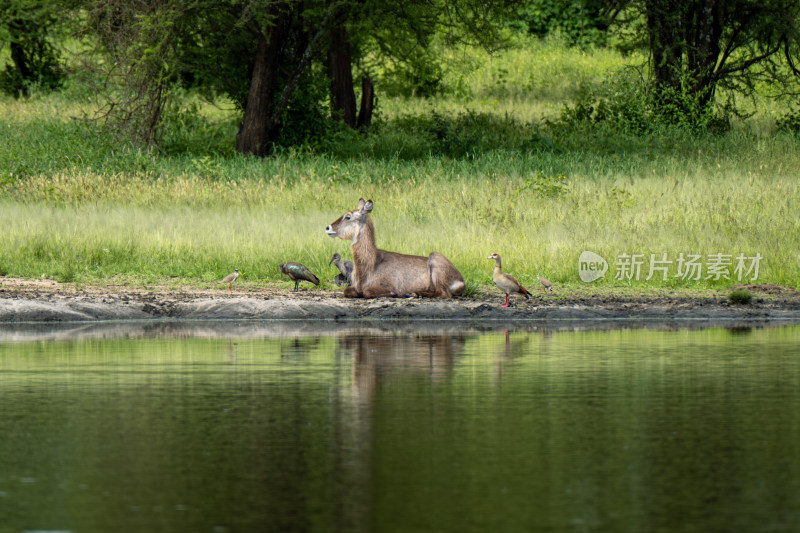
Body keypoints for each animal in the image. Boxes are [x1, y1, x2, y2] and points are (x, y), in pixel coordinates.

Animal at [324, 200, 462, 300]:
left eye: (348, 217)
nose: (328, 227)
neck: (371, 263)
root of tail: (461, 280)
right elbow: (346, 291)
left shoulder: (388, 285)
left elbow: (367, 292)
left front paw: (394, 294)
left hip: (435, 259)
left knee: (444, 294)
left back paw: (414, 293)